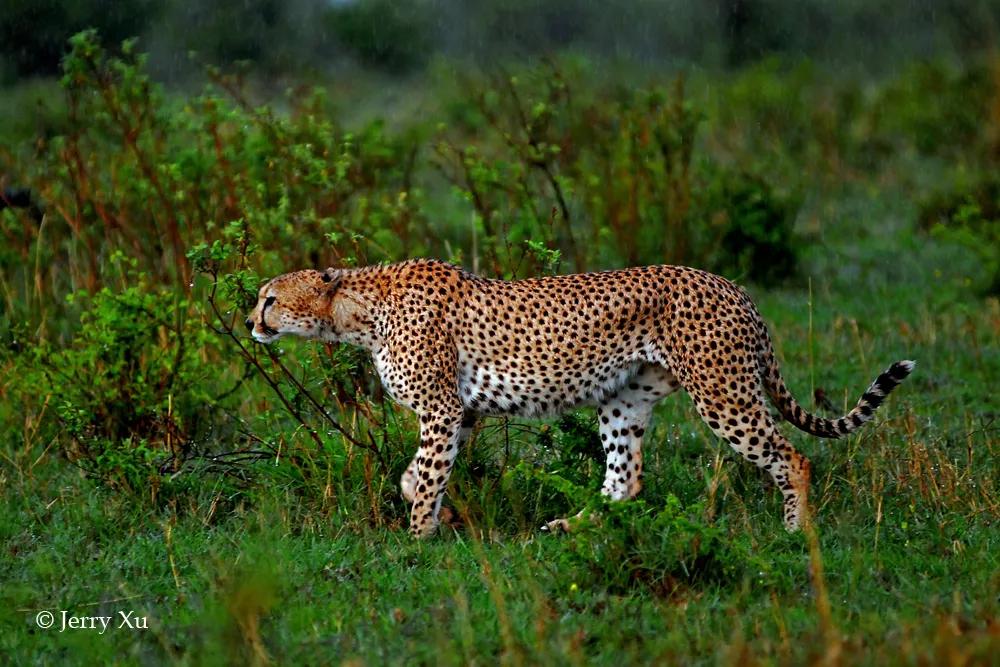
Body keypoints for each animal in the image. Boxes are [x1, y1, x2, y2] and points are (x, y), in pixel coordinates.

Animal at [244, 260, 916, 536]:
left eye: (270, 298)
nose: (250, 321)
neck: (357, 310)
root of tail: (731, 285)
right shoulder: (461, 412)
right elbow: (417, 476)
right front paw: (441, 520)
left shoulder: (441, 409)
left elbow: (425, 477)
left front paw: (417, 540)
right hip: (624, 400)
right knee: (626, 480)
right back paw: (571, 526)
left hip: (723, 393)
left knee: (792, 456)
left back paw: (796, 533)